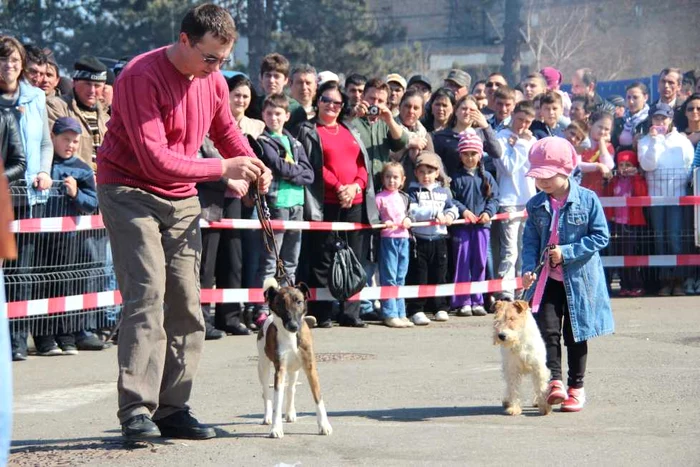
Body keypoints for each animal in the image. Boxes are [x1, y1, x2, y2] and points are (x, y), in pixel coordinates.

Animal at [258, 278, 334, 438]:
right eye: (280, 303)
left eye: (298, 301)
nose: (293, 326)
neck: (291, 336)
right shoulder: (279, 369)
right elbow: (276, 401)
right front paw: (276, 428)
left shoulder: (310, 367)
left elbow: (318, 397)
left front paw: (324, 425)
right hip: (263, 366)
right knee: (266, 392)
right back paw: (267, 417)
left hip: (294, 370)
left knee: (291, 388)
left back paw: (290, 413)